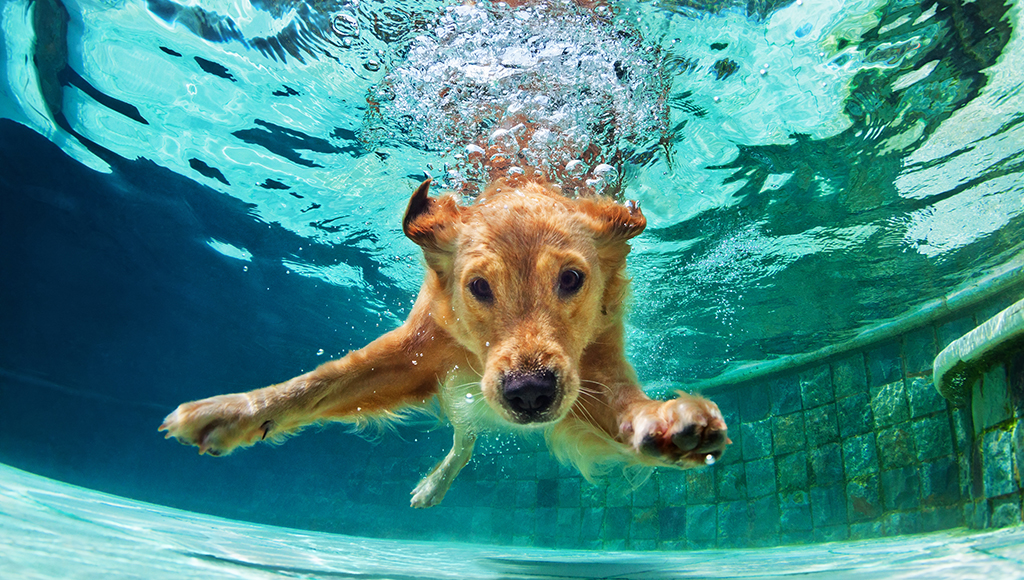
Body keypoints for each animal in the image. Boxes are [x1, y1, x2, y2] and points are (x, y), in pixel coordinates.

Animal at [159, 177, 729, 508]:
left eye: (571, 279)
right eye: (478, 287)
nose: (529, 393)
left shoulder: (593, 367)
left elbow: (625, 406)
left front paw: (667, 422)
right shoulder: (416, 351)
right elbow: (319, 383)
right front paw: (234, 411)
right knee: (464, 438)